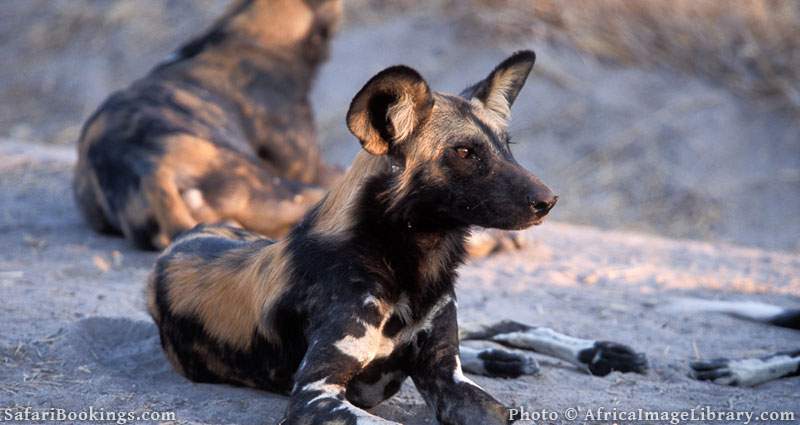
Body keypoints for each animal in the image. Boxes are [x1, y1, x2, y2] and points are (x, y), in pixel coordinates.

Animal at [148, 51, 564, 422]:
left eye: (507, 148)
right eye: (464, 152)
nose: (548, 201)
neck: (411, 263)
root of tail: (188, 233)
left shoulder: (447, 378)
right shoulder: (316, 394)